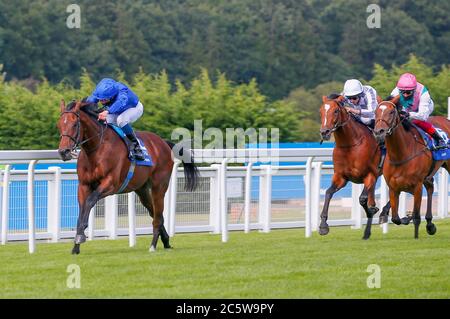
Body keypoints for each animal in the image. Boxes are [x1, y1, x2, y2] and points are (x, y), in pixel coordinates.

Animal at [56, 100, 199, 255]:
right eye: (59, 124)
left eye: (74, 124)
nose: (64, 152)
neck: (96, 149)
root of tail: (163, 142)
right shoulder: (83, 185)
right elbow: (81, 210)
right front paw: (76, 246)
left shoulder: (110, 184)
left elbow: (89, 201)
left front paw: (80, 237)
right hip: (142, 189)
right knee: (154, 212)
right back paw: (166, 241)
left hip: (159, 186)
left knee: (158, 217)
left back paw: (153, 245)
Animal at [320, 95, 390, 240]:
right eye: (321, 111)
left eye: (336, 111)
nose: (324, 132)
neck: (350, 145)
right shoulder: (341, 177)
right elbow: (328, 193)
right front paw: (323, 226)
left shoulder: (370, 175)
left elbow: (362, 199)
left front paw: (373, 210)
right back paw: (367, 232)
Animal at [372, 96, 450, 239]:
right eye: (376, 112)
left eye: (391, 112)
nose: (379, 132)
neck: (400, 154)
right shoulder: (393, 187)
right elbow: (395, 218)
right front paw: (404, 217)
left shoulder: (417, 186)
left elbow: (416, 215)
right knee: (430, 188)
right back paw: (430, 224)